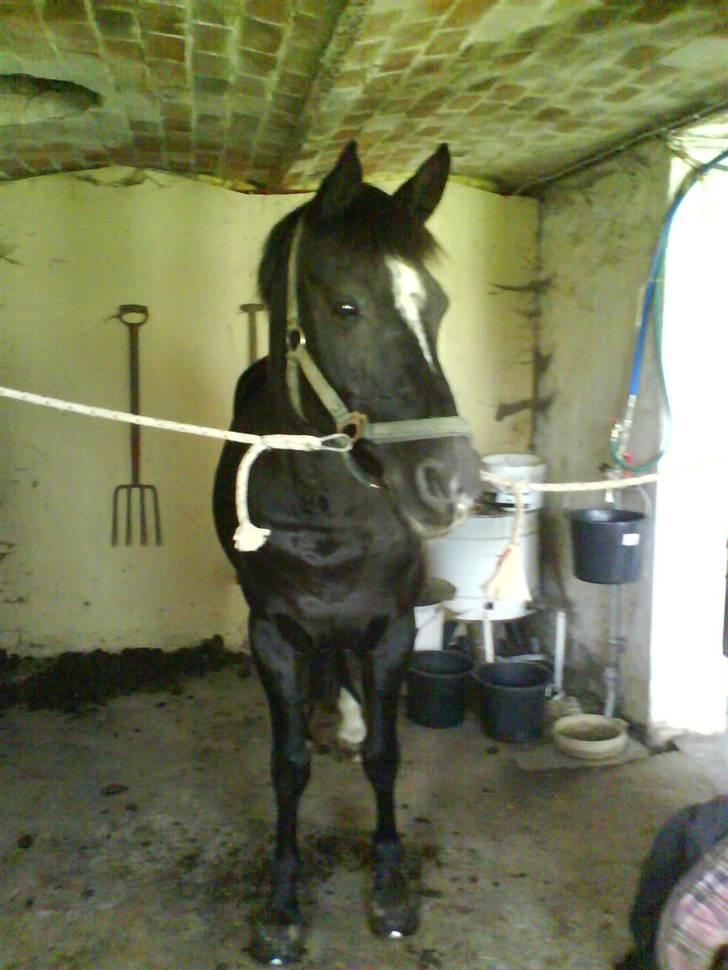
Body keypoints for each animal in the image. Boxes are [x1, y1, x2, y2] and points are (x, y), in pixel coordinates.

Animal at [213, 142, 481, 965]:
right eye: (346, 308)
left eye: (438, 307)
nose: (451, 486)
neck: (324, 507)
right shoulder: (271, 634)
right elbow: (286, 767)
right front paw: (281, 904)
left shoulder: (391, 626)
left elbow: (387, 757)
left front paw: (390, 888)